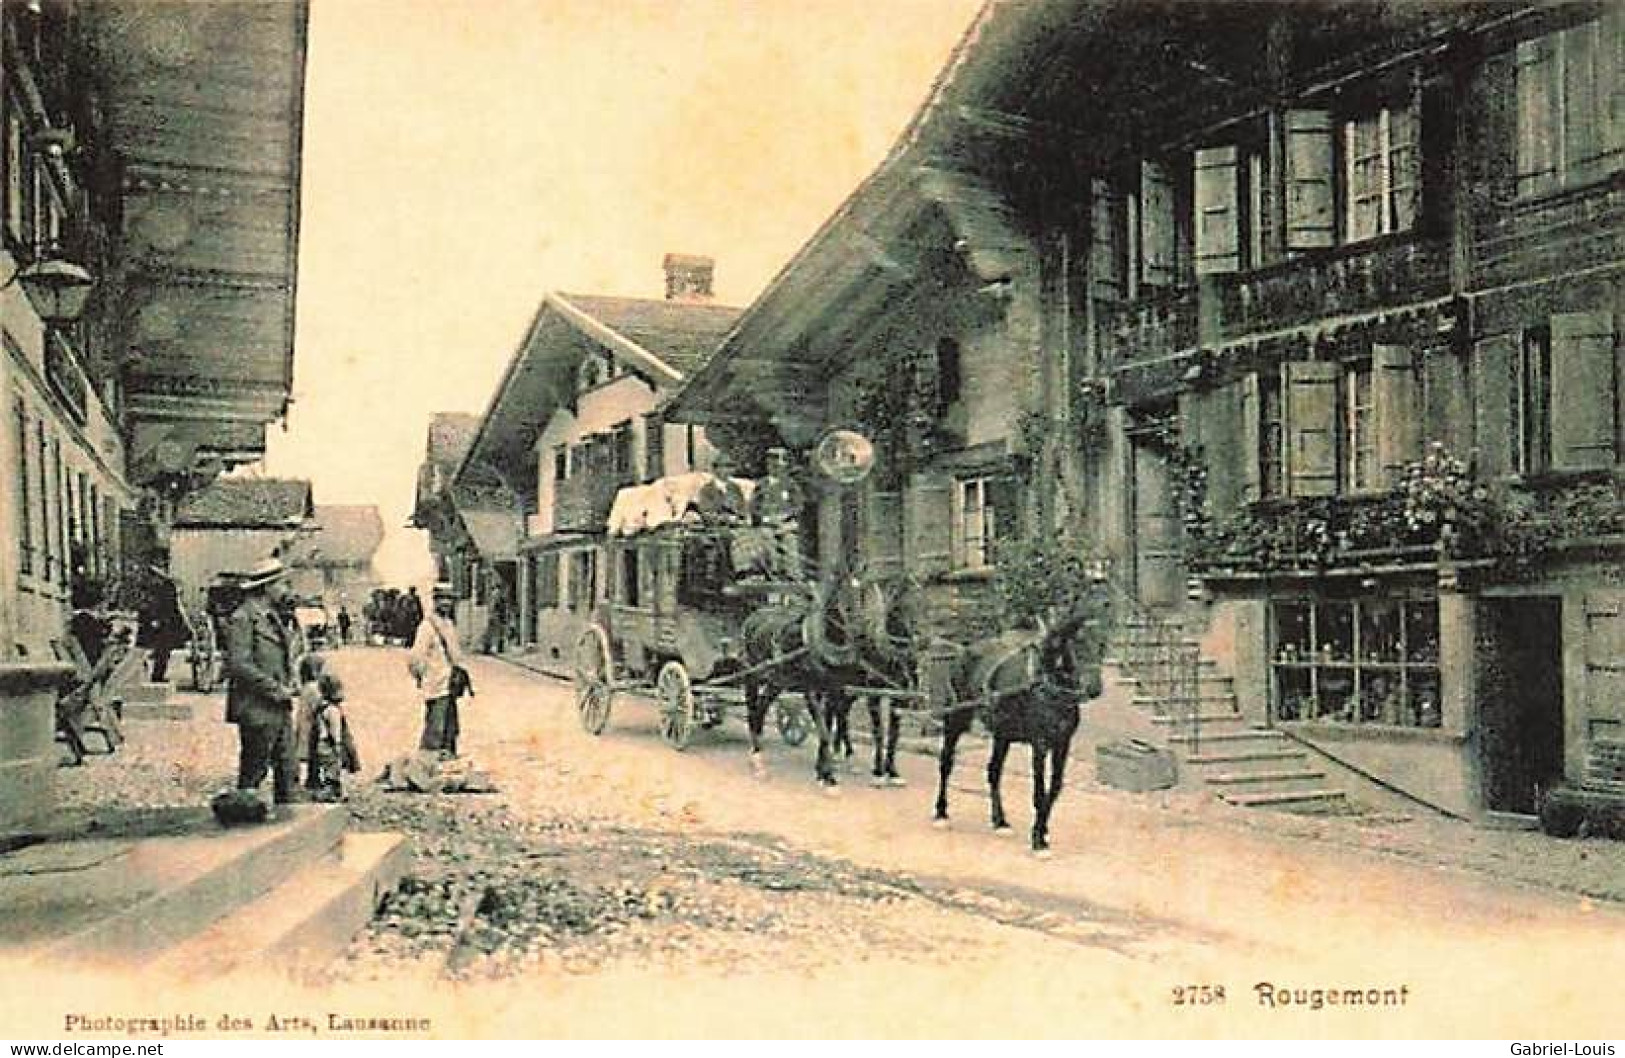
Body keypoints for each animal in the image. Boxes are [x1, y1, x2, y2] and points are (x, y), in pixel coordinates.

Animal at [929, 601, 1105, 858]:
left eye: (1102, 645)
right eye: (1079, 645)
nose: (1095, 689)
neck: (1047, 688)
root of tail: (964, 651)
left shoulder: (1062, 744)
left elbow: (1054, 790)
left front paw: (1042, 832)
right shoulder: (1040, 745)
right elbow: (1039, 792)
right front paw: (1038, 842)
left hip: (1002, 735)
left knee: (993, 772)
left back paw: (1000, 821)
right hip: (957, 719)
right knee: (946, 763)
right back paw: (941, 813)